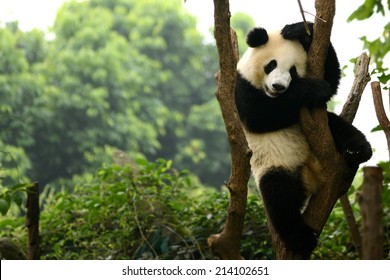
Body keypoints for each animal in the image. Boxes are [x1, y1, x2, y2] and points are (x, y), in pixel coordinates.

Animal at [235, 22, 372, 254]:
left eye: (293, 71)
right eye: (271, 65)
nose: (279, 87)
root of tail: (312, 176)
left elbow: (331, 77)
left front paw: (299, 31)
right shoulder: (242, 86)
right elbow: (258, 114)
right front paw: (314, 88)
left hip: (326, 133)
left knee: (337, 125)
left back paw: (358, 150)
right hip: (276, 164)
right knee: (279, 198)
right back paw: (302, 239)